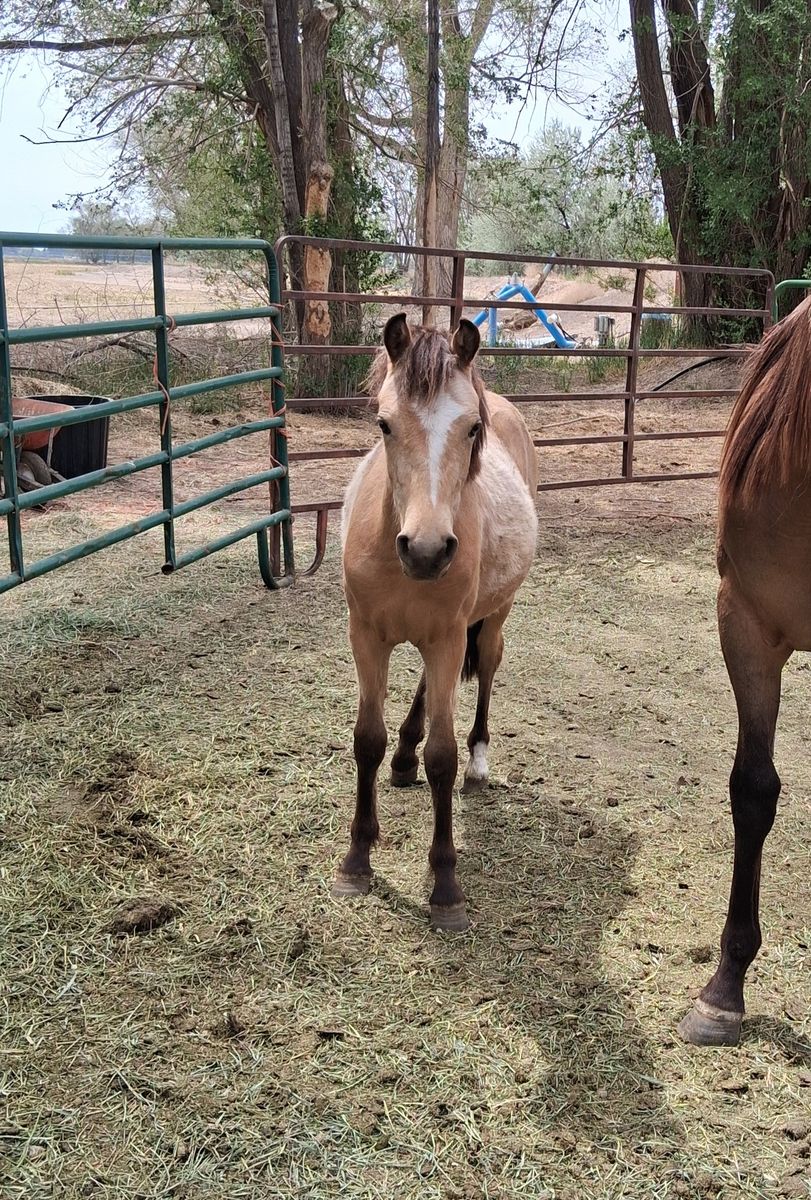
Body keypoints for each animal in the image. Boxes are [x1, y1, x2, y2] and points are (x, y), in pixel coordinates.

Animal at [333, 313, 538, 932]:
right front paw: (357, 859)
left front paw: (445, 885)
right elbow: (367, 740)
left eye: (471, 429)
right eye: (383, 423)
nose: (426, 551)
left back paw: (479, 761)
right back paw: (404, 756)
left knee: (487, 671)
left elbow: (442, 757)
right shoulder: (367, 638)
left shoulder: (449, 638)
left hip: (490, 618)